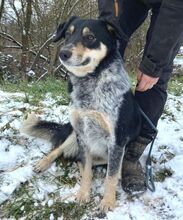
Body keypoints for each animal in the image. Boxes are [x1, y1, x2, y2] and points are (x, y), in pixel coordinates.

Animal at [21, 16, 142, 212]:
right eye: (68, 34)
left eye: (90, 37)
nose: (63, 53)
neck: (90, 82)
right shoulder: (83, 135)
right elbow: (86, 170)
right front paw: (83, 195)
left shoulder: (116, 141)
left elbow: (110, 177)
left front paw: (107, 202)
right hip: (74, 134)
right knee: (63, 151)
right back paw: (43, 163)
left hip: (104, 154)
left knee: (85, 162)